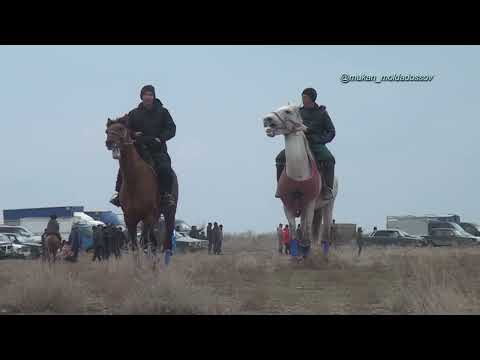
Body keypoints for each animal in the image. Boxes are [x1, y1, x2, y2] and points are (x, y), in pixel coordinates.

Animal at [106, 117, 179, 253]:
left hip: (169, 213)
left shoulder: (148, 216)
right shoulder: (129, 218)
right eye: (107, 131)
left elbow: (145, 242)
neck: (135, 180)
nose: (109, 142)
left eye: (121, 128)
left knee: (166, 243)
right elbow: (135, 246)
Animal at [262, 104, 338, 256]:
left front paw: (305, 256)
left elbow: (306, 233)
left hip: (329, 204)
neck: (298, 174)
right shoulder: (287, 204)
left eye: (287, 111)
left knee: (325, 232)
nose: (267, 119)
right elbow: (294, 233)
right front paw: (295, 257)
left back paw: (324, 256)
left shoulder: (309, 204)